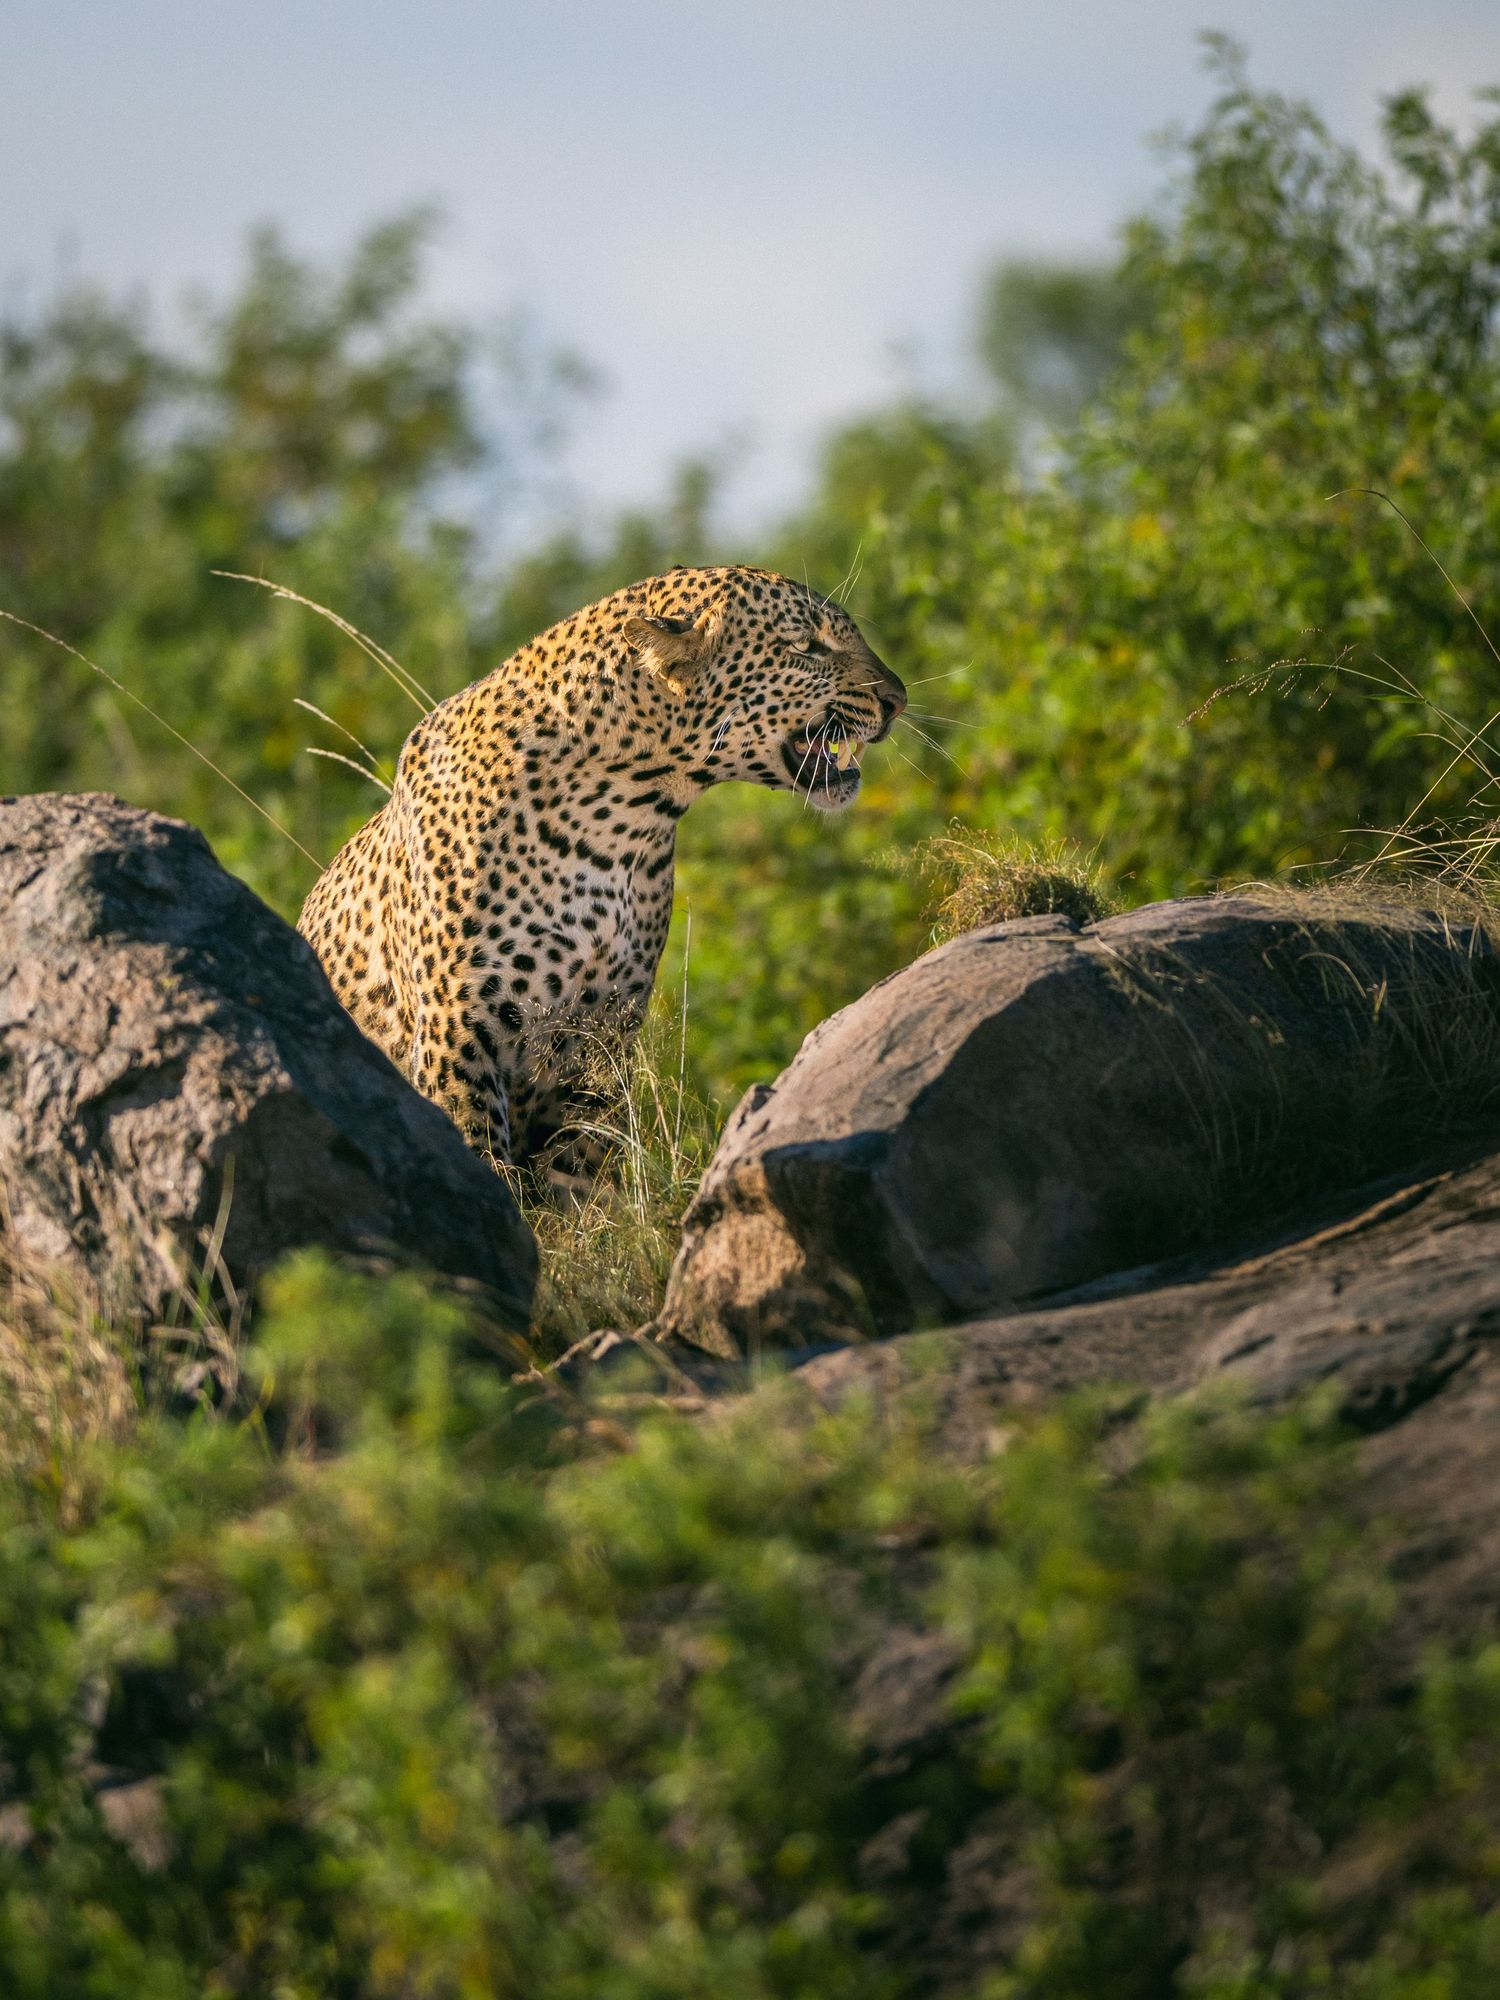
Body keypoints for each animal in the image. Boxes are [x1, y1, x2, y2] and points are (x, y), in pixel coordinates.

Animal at [297, 563, 907, 1176]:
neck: (622, 818)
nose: (897, 699)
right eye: (805, 647)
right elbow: (482, 1159)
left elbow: (581, 1169)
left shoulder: (605, 1032)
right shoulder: (459, 1033)